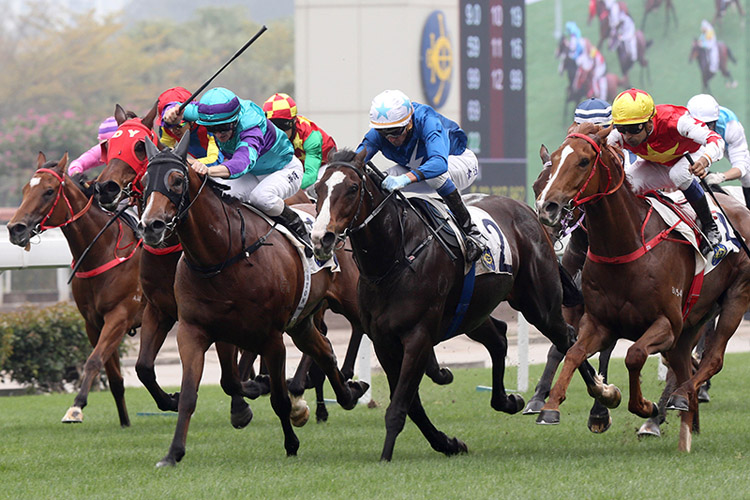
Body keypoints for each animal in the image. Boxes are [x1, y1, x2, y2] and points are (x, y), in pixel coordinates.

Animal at [7, 152, 145, 426]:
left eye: (49, 191)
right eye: (25, 189)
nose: (15, 228)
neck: (102, 251)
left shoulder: (120, 316)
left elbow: (93, 361)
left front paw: (76, 407)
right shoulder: (94, 322)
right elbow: (113, 377)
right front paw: (125, 422)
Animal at [139, 135, 370, 466]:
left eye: (177, 180)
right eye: (145, 181)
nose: (151, 226)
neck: (223, 254)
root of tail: (338, 229)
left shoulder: (271, 337)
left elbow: (277, 398)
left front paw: (291, 441)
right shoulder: (197, 329)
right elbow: (200, 391)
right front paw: (173, 453)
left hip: (352, 303)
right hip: (301, 323)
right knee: (324, 349)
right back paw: (348, 393)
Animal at [308, 148, 604, 460]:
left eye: (352, 188)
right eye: (318, 189)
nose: (321, 238)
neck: (395, 257)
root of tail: (527, 211)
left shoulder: (418, 337)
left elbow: (399, 405)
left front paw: (386, 456)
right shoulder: (384, 341)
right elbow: (412, 406)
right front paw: (448, 443)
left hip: (539, 306)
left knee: (567, 337)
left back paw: (599, 394)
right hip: (472, 312)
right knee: (500, 337)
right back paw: (507, 400)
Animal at [536, 123, 750, 452]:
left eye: (584, 161)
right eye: (556, 158)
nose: (547, 207)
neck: (625, 245)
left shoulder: (666, 324)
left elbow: (634, 355)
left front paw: (643, 406)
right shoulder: (599, 323)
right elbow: (573, 353)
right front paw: (558, 405)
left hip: (735, 299)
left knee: (711, 360)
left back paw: (677, 400)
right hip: (694, 318)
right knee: (682, 362)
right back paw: (683, 427)